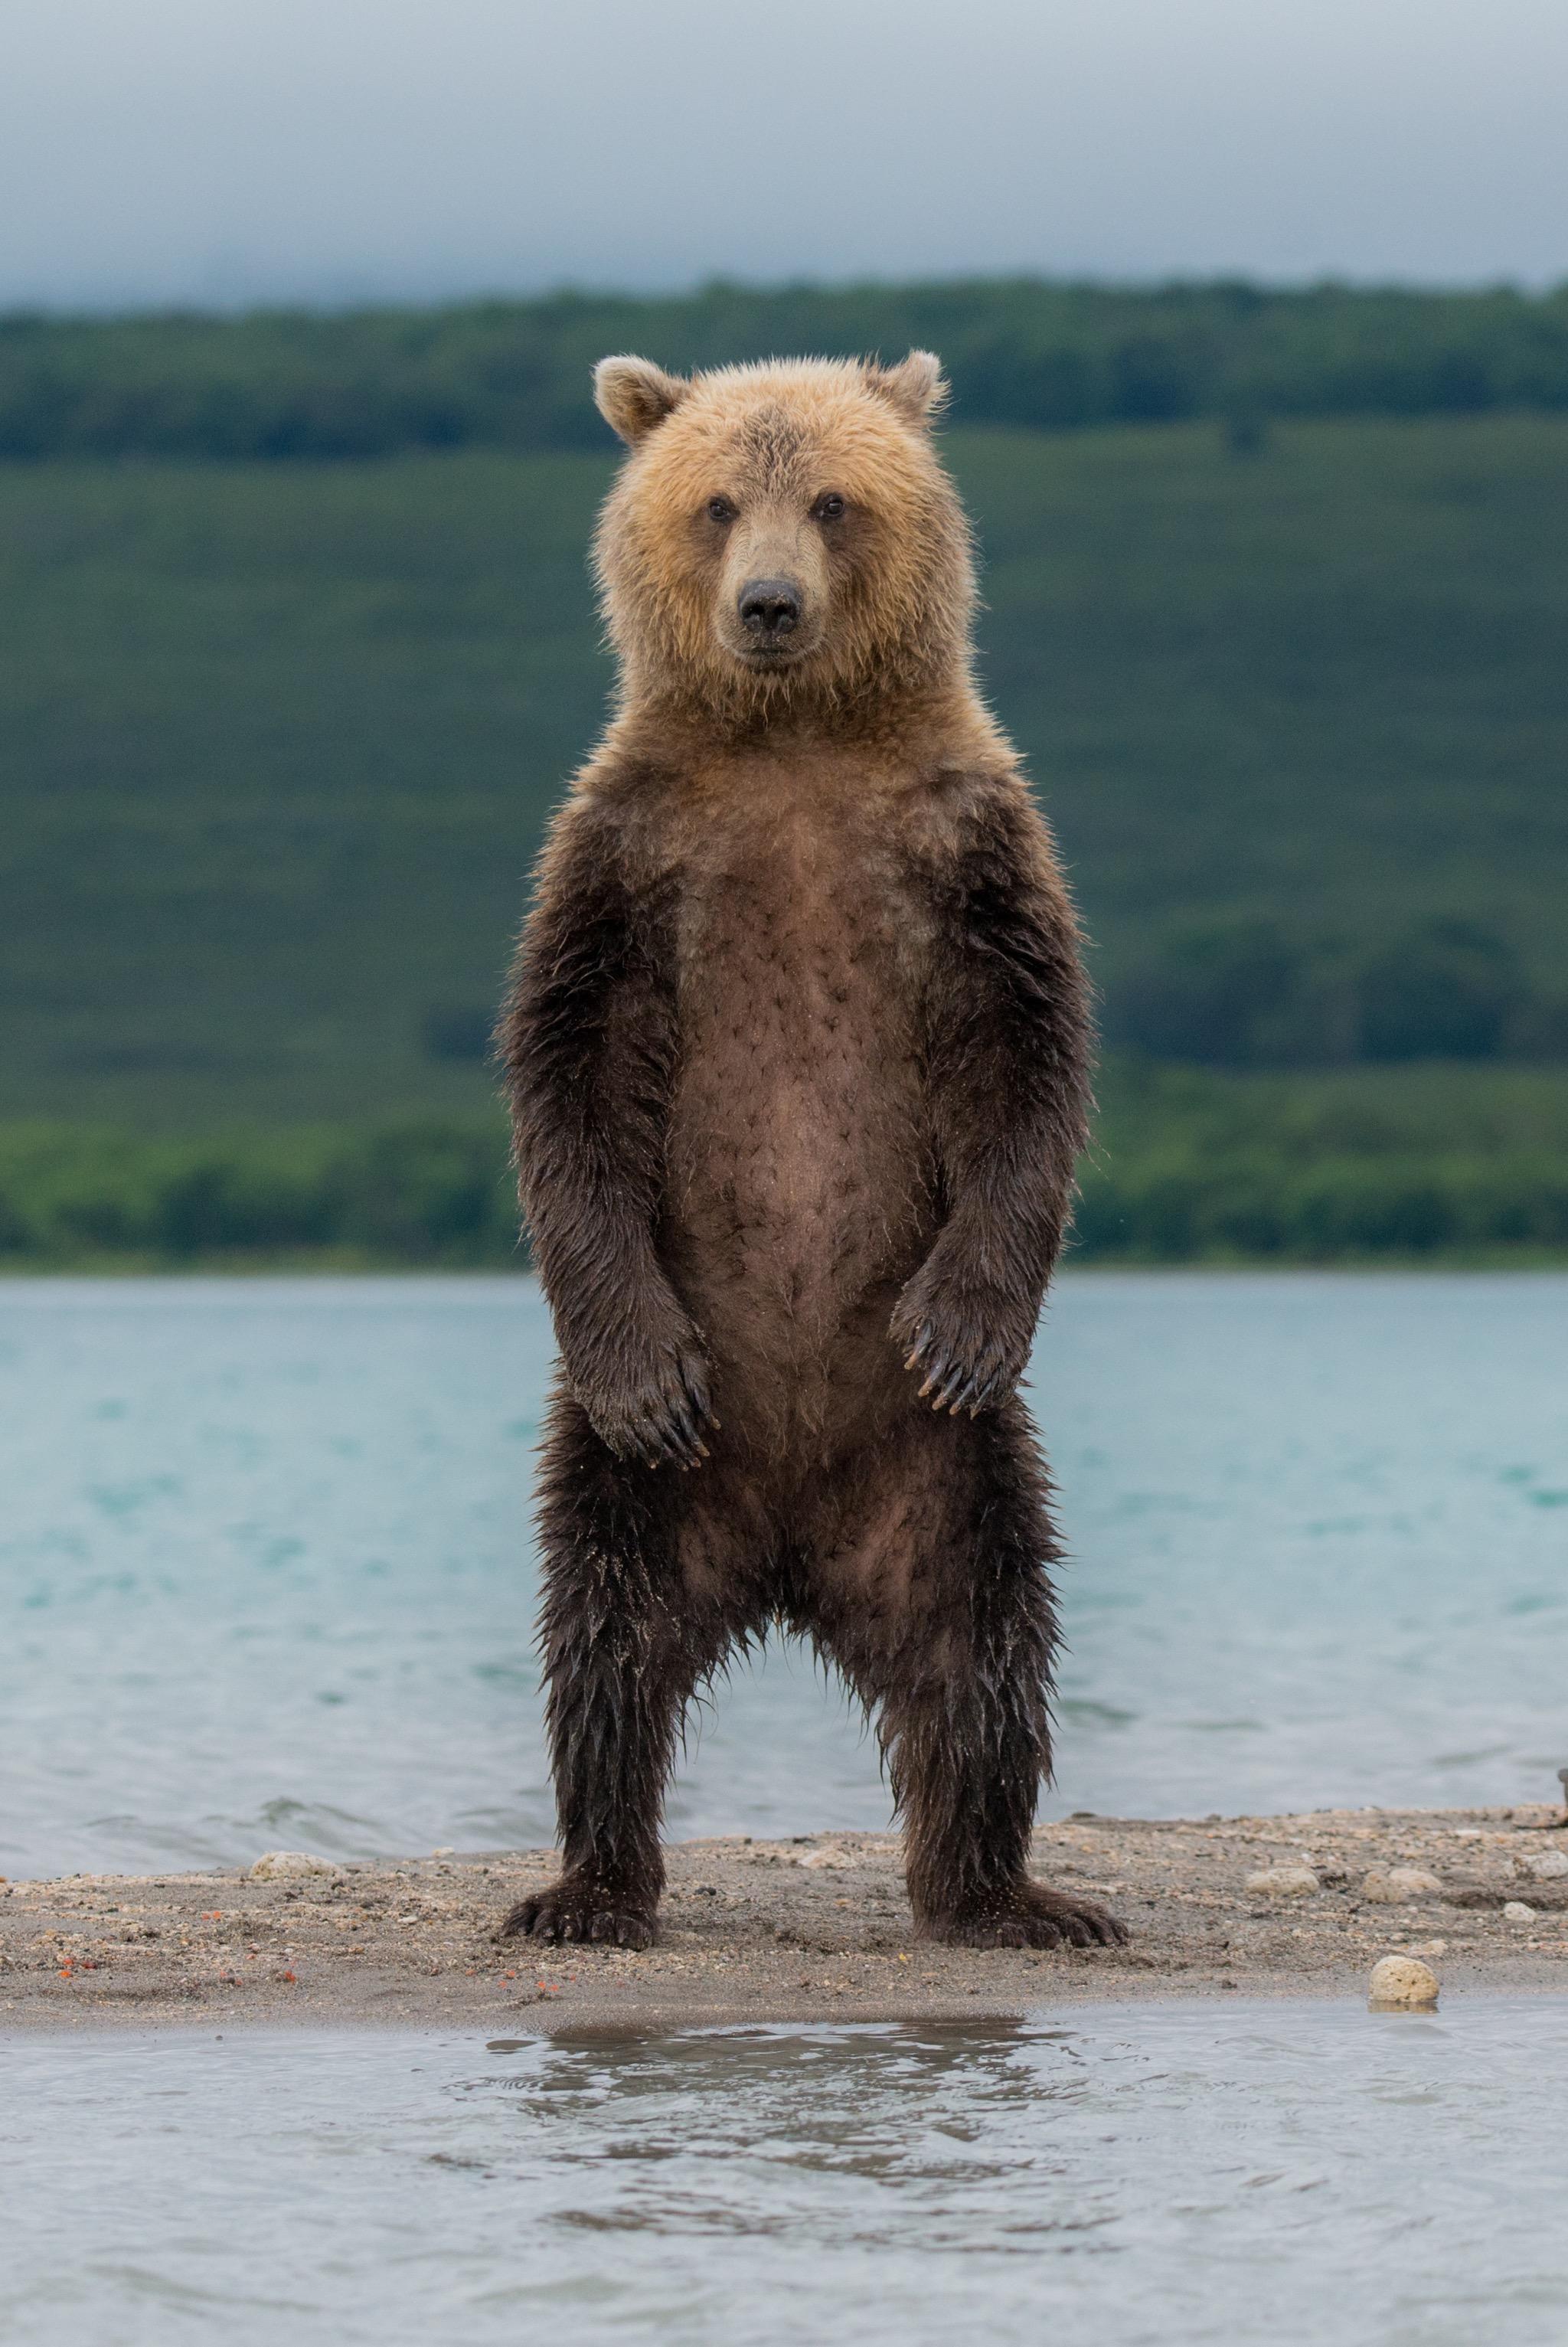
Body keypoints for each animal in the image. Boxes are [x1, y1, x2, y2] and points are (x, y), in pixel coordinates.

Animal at [495, 347, 1122, 1953]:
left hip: (949, 1471)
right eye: (720, 502)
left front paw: (962, 1322)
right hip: (637, 1480)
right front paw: (643, 1368)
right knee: (600, 1643)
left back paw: (1006, 1891)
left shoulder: (966, 850)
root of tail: (782, 1558)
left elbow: (1033, 1065)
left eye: (831, 500)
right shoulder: (625, 858)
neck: (790, 743)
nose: (768, 605)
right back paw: (589, 1885)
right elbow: (565, 1079)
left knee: (986, 1650)